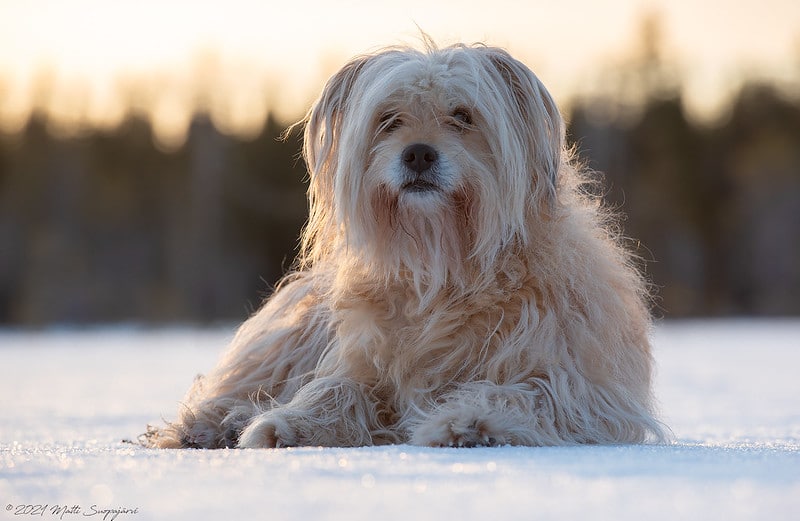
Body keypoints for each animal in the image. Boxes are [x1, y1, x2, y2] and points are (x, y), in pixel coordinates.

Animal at [145, 41, 668, 446]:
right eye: (389, 119)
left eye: (462, 116)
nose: (417, 154)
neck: (444, 264)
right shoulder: (363, 361)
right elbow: (336, 389)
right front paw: (291, 424)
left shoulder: (577, 381)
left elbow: (524, 392)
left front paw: (470, 422)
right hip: (290, 339)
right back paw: (213, 424)